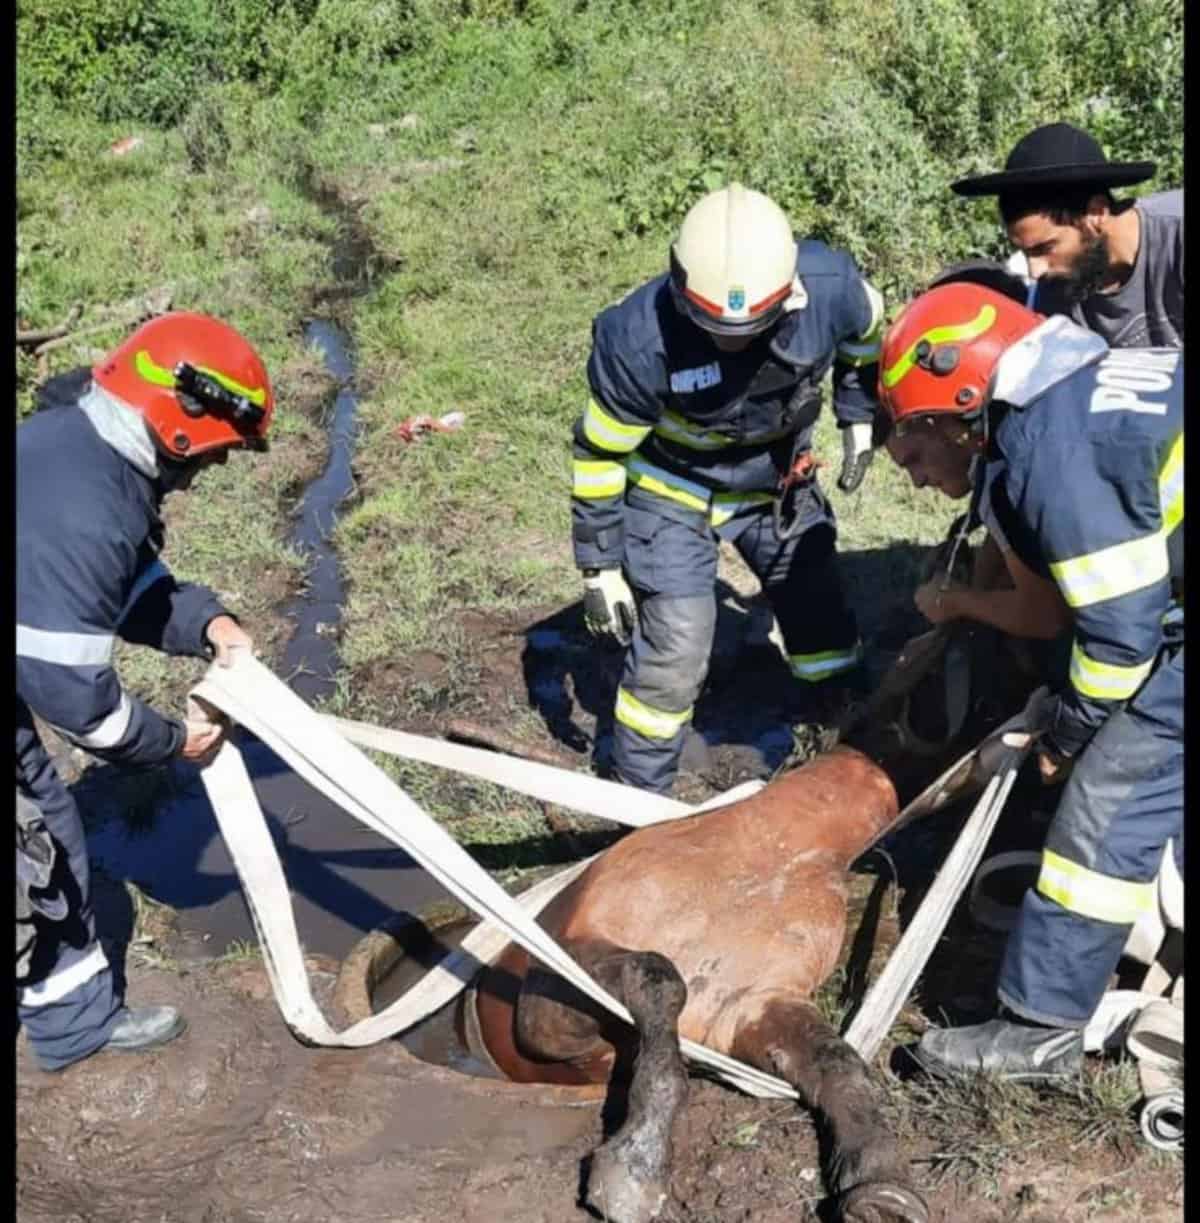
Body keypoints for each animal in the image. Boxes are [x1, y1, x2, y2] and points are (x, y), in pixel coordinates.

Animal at [467, 626, 1037, 1218]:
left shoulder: (752, 1005)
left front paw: (881, 1184)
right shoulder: (549, 994)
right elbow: (659, 977)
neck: (776, 847)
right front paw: (636, 1164)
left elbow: (840, 1065)